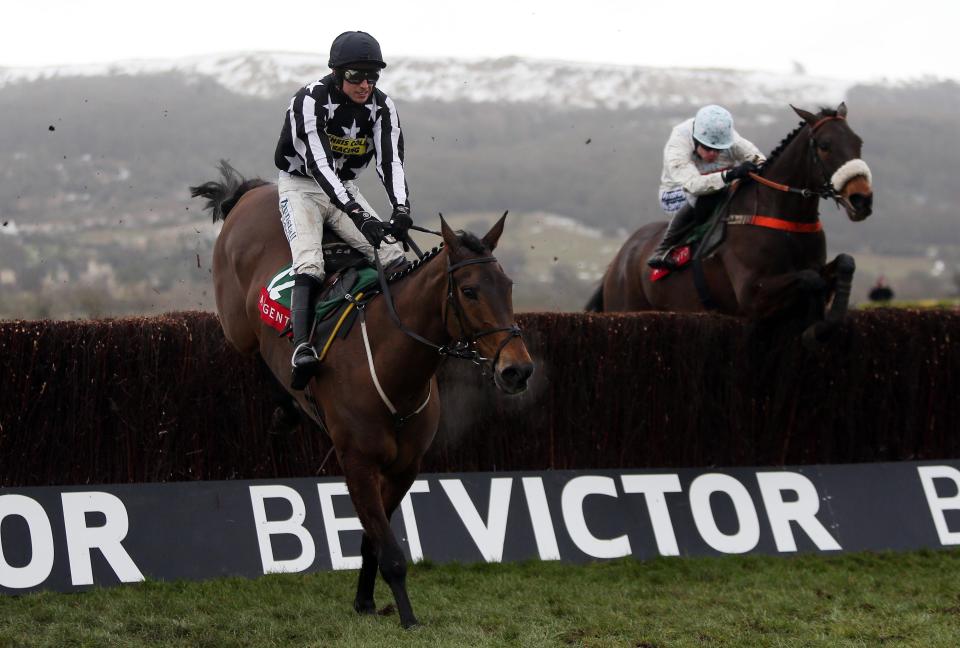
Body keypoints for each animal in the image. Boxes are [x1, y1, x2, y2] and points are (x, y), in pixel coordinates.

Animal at [188, 162, 532, 628]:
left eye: (508, 285)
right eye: (469, 291)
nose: (518, 369)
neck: (391, 372)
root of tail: (250, 192)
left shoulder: (404, 468)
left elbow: (374, 540)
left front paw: (365, 601)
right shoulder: (357, 463)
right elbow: (390, 552)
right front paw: (407, 617)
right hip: (237, 321)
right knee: (262, 336)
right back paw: (289, 393)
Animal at [588, 102, 872, 342]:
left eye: (858, 141)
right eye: (824, 145)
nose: (862, 199)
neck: (784, 219)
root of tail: (620, 258)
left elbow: (845, 263)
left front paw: (825, 318)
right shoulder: (751, 295)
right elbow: (811, 278)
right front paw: (816, 325)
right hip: (625, 307)